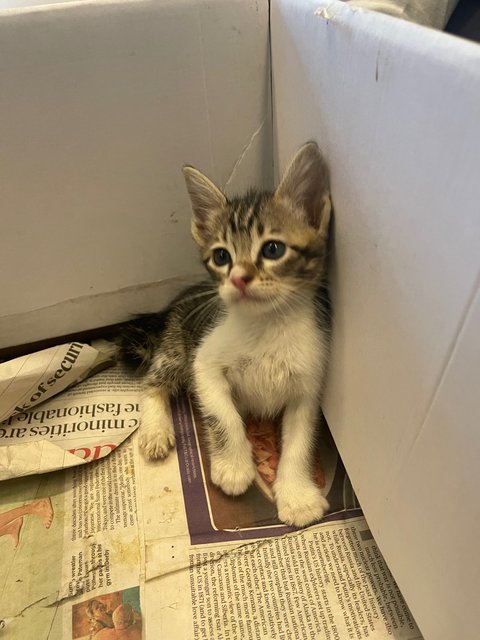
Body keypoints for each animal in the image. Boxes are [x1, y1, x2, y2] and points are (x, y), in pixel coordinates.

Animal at [118, 142, 332, 528]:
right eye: (221, 256)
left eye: (273, 249)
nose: (237, 278)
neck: (267, 323)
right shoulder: (204, 362)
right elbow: (224, 415)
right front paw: (233, 467)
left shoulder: (308, 382)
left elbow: (300, 440)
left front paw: (297, 496)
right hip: (176, 345)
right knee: (152, 382)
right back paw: (155, 429)